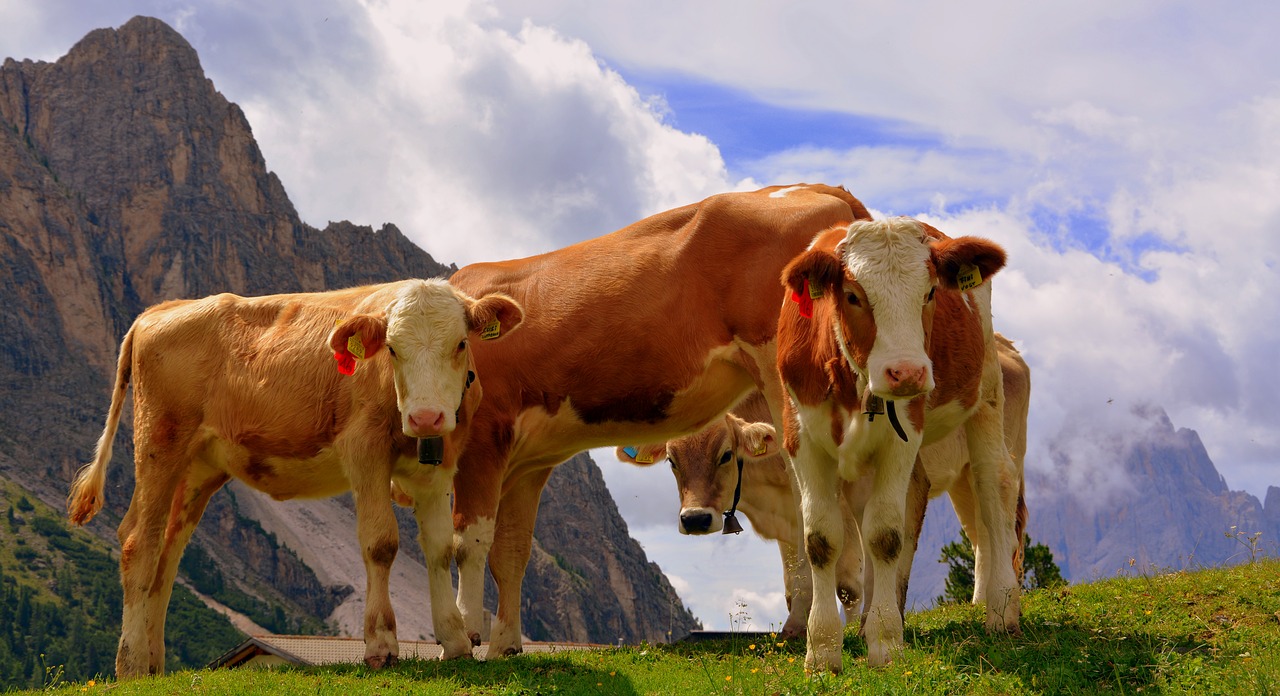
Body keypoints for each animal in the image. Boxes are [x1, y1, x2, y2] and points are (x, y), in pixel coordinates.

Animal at [430, 182, 870, 652]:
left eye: (726, 455)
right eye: (672, 462)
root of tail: (810, 187)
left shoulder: (480, 436)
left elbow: (468, 541)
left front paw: (463, 637)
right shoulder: (528, 461)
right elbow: (511, 552)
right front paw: (505, 646)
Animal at [611, 335, 1029, 644]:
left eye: (725, 454)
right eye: (672, 460)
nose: (695, 519)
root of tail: (1008, 347)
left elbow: (849, 581)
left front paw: (853, 626)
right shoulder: (787, 517)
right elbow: (795, 580)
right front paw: (798, 624)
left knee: (1005, 523)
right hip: (961, 479)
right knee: (981, 536)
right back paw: (978, 601)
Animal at [773, 216, 1024, 670]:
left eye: (929, 293)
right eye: (853, 295)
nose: (906, 372)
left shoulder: (904, 433)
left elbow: (885, 534)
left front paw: (886, 642)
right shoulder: (799, 435)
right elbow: (821, 538)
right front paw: (823, 651)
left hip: (987, 393)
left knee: (993, 482)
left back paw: (1001, 608)